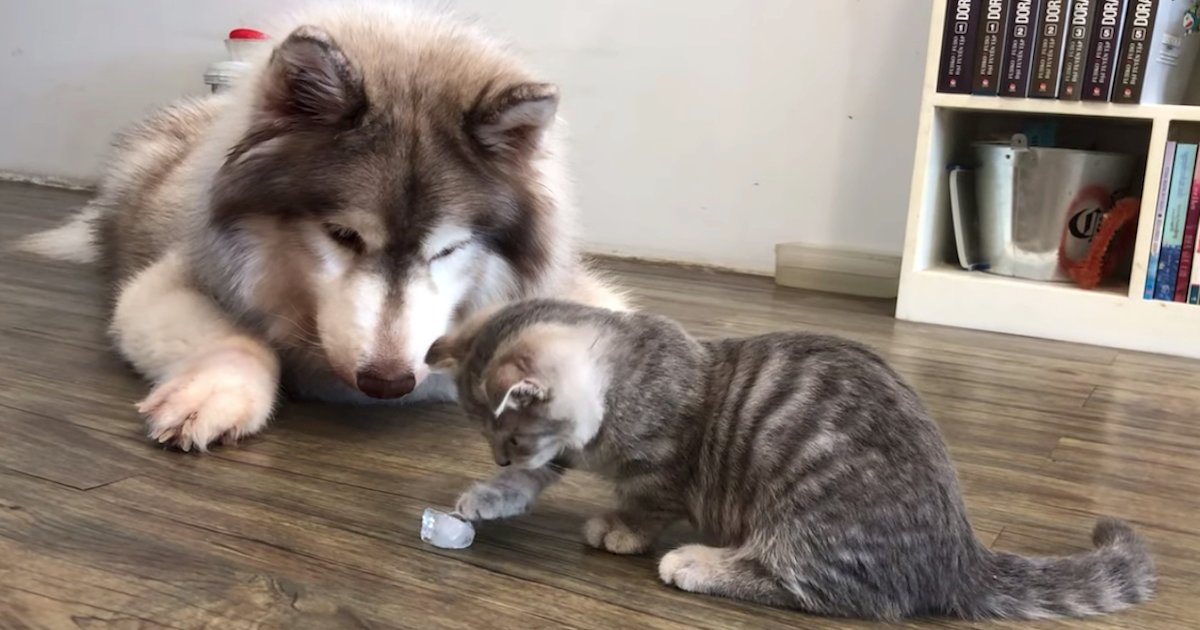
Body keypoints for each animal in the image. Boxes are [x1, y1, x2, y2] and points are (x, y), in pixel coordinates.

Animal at [21, 2, 628, 448]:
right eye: (344, 236)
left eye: (447, 250)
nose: (387, 383)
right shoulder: (165, 282)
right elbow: (240, 341)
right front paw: (215, 392)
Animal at [427, 300, 1156, 619]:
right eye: (495, 445)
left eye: (512, 437)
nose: (499, 456)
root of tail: (959, 550)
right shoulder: (572, 446)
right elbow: (533, 482)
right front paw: (487, 497)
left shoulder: (661, 468)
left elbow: (643, 502)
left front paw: (621, 530)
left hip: (813, 513)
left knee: (827, 592)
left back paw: (697, 563)